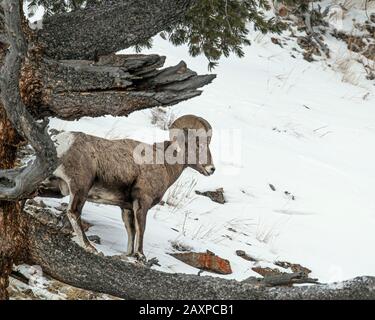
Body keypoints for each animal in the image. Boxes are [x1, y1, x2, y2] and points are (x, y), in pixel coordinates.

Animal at [41, 115, 214, 260]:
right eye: (197, 146)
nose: (211, 169)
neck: (164, 164)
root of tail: (62, 143)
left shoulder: (127, 208)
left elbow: (131, 230)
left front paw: (129, 254)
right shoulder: (142, 202)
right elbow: (141, 228)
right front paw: (140, 255)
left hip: (57, 187)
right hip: (80, 188)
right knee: (73, 212)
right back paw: (91, 247)